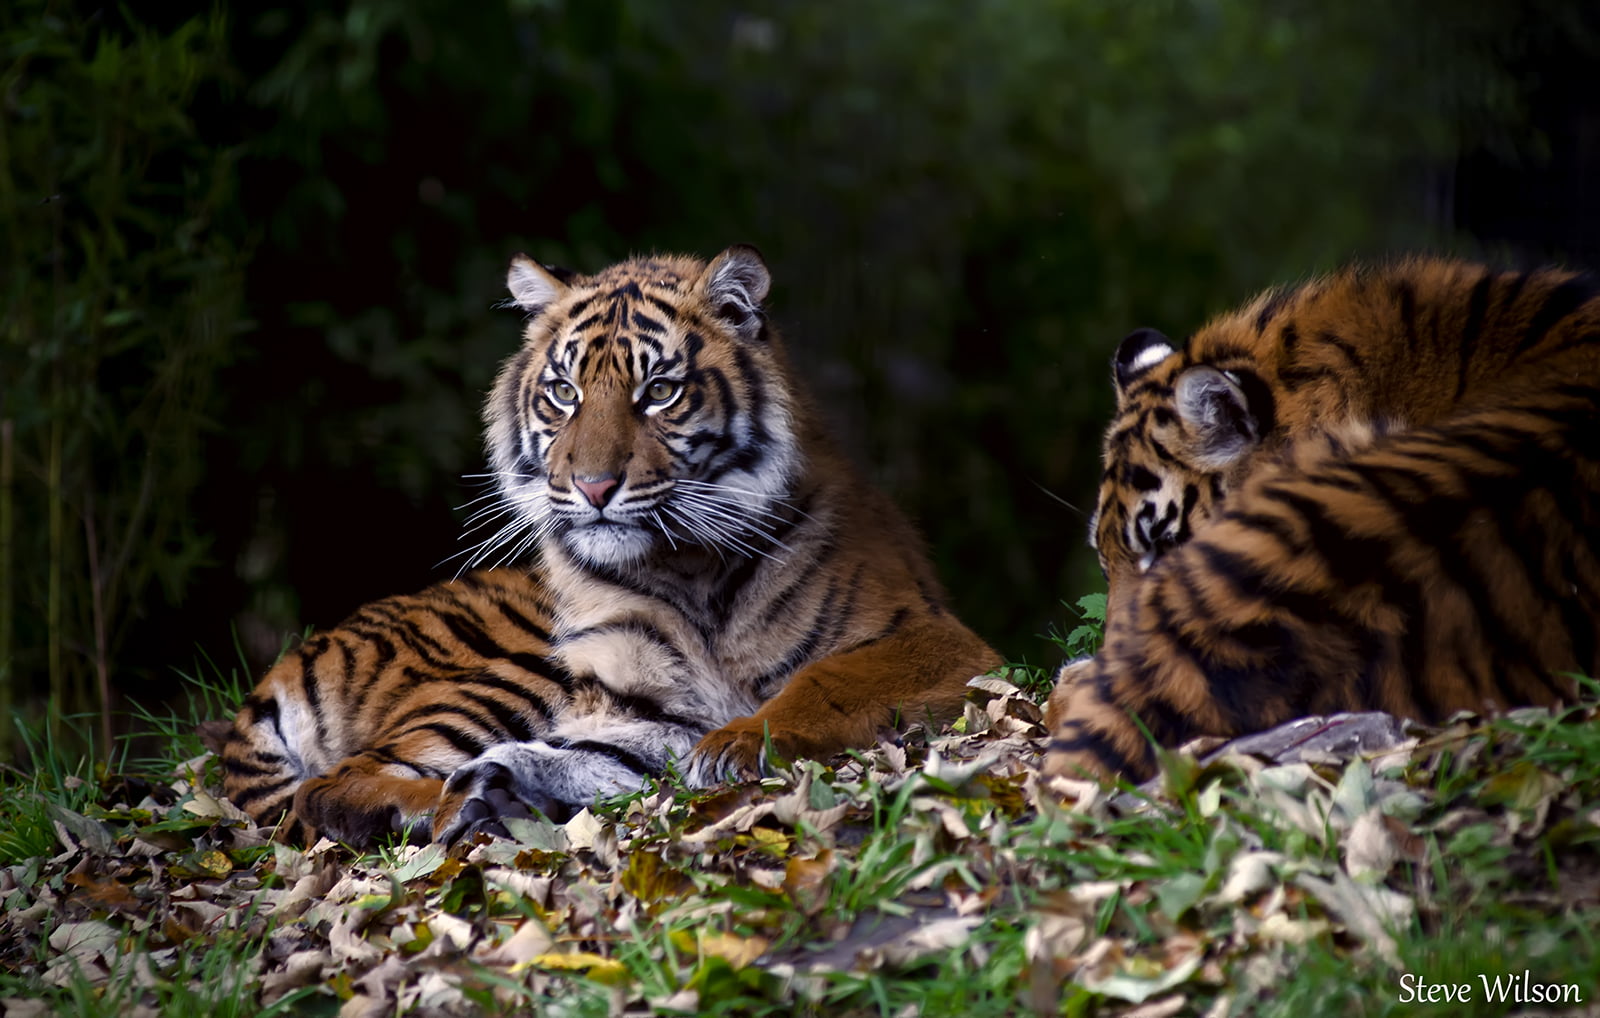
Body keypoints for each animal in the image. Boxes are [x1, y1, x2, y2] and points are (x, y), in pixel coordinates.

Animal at [219, 245, 1001, 846]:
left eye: (658, 391)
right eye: (564, 392)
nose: (593, 486)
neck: (687, 569)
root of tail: (290, 663)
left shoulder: (936, 640)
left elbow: (820, 680)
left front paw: (733, 746)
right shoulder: (636, 700)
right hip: (511, 667)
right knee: (329, 786)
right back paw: (442, 808)